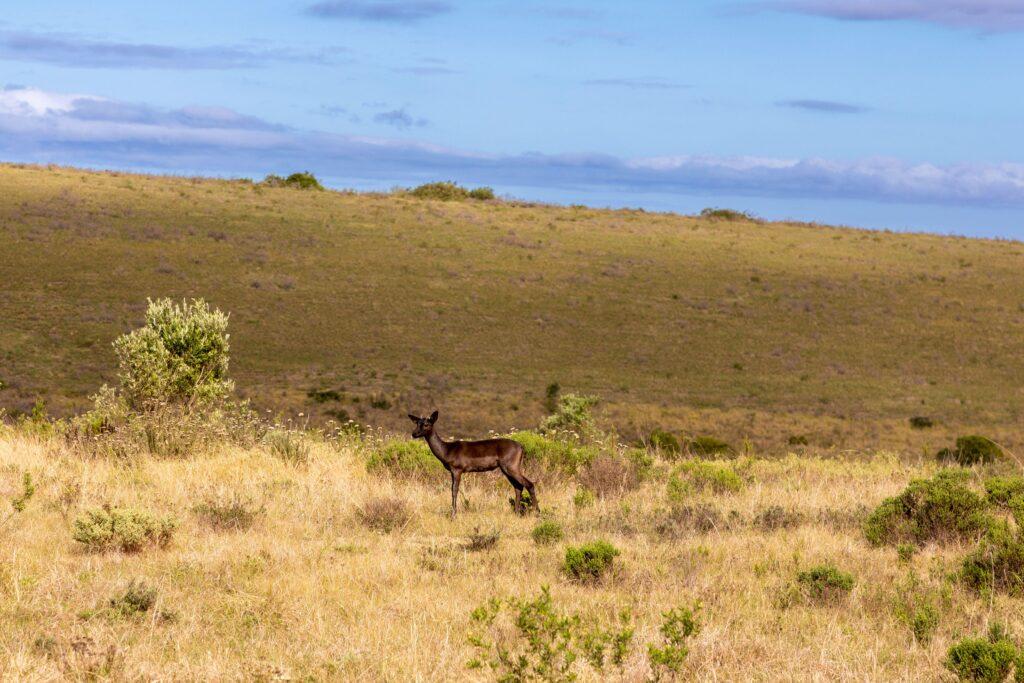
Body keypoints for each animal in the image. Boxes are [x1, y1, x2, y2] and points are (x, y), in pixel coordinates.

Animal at [408, 410, 538, 518]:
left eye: (426, 424)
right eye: (417, 423)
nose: (414, 434)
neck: (446, 450)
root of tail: (521, 446)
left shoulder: (457, 470)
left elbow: (454, 490)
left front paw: (453, 516)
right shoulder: (452, 472)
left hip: (511, 467)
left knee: (529, 484)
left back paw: (537, 513)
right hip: (506, 470)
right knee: (518, 487)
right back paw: (516, 513)